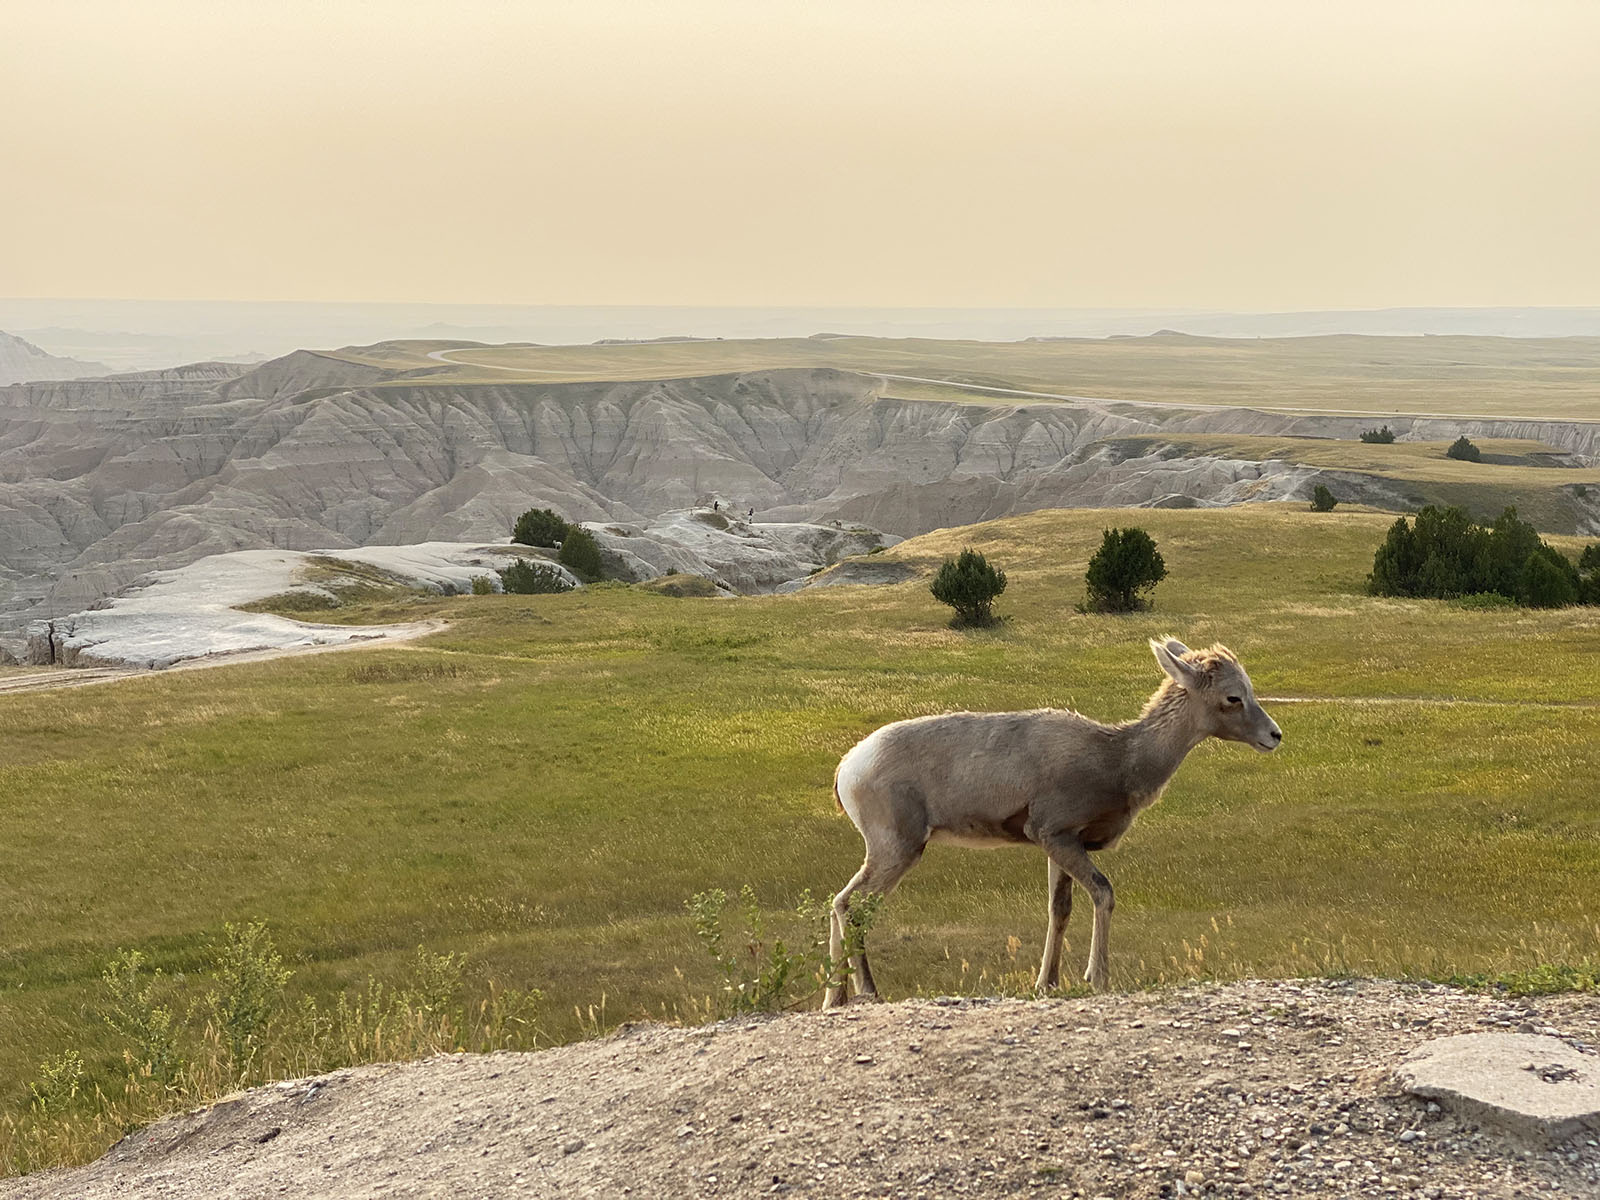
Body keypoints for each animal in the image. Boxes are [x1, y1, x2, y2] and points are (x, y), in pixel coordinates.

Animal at [832, 643, 1280, 1011]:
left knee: (839, 902)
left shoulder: (1058, 846)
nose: (1274, 736)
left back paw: (835, 998)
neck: (1116, 760)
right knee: (852, 906)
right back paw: (869, 992)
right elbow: (1103, 893)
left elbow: (1059, 910)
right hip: (897, 848)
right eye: (1233, 697)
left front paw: (1046, 983)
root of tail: (848, 767)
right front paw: (1097, 978)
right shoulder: (1058, 835)